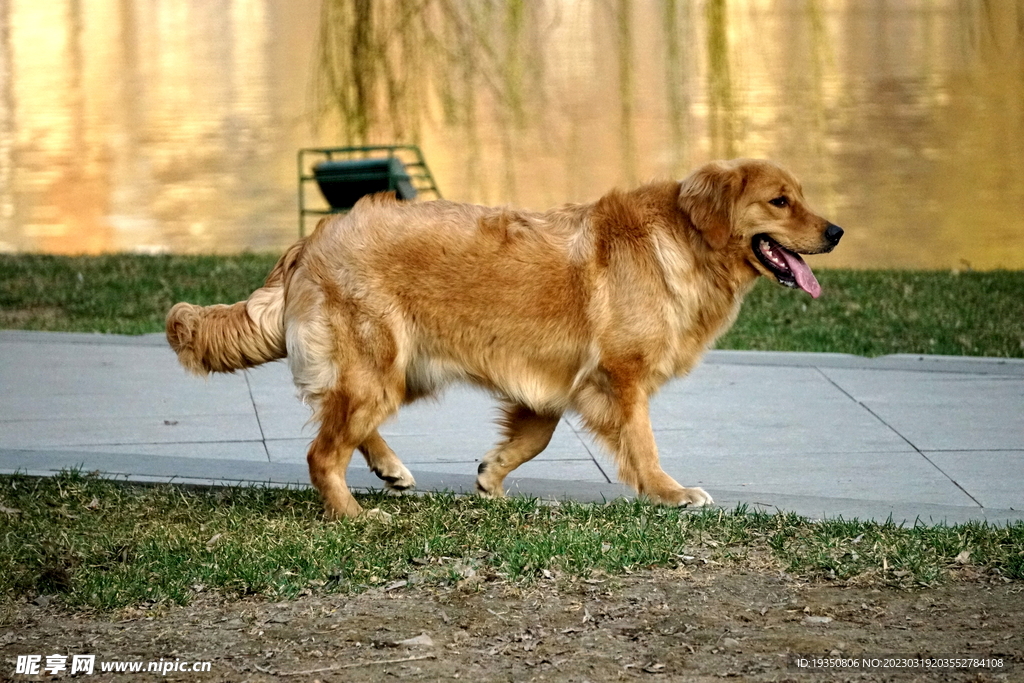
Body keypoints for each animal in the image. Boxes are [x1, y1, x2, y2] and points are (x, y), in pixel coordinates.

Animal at [165, 158, 839, 518]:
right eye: (780, 201)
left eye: (800, 197)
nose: (835, 231)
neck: (687, 241)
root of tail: (312, 238)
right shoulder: (618, 378)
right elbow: (643, 445)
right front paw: (668, 493)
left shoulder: (554, 383)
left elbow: (534, 438)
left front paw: (492, 475)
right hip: (377, 365)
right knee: (322, 451)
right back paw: (353, 514)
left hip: (397, 370)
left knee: (342, 424)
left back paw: (389, 469)